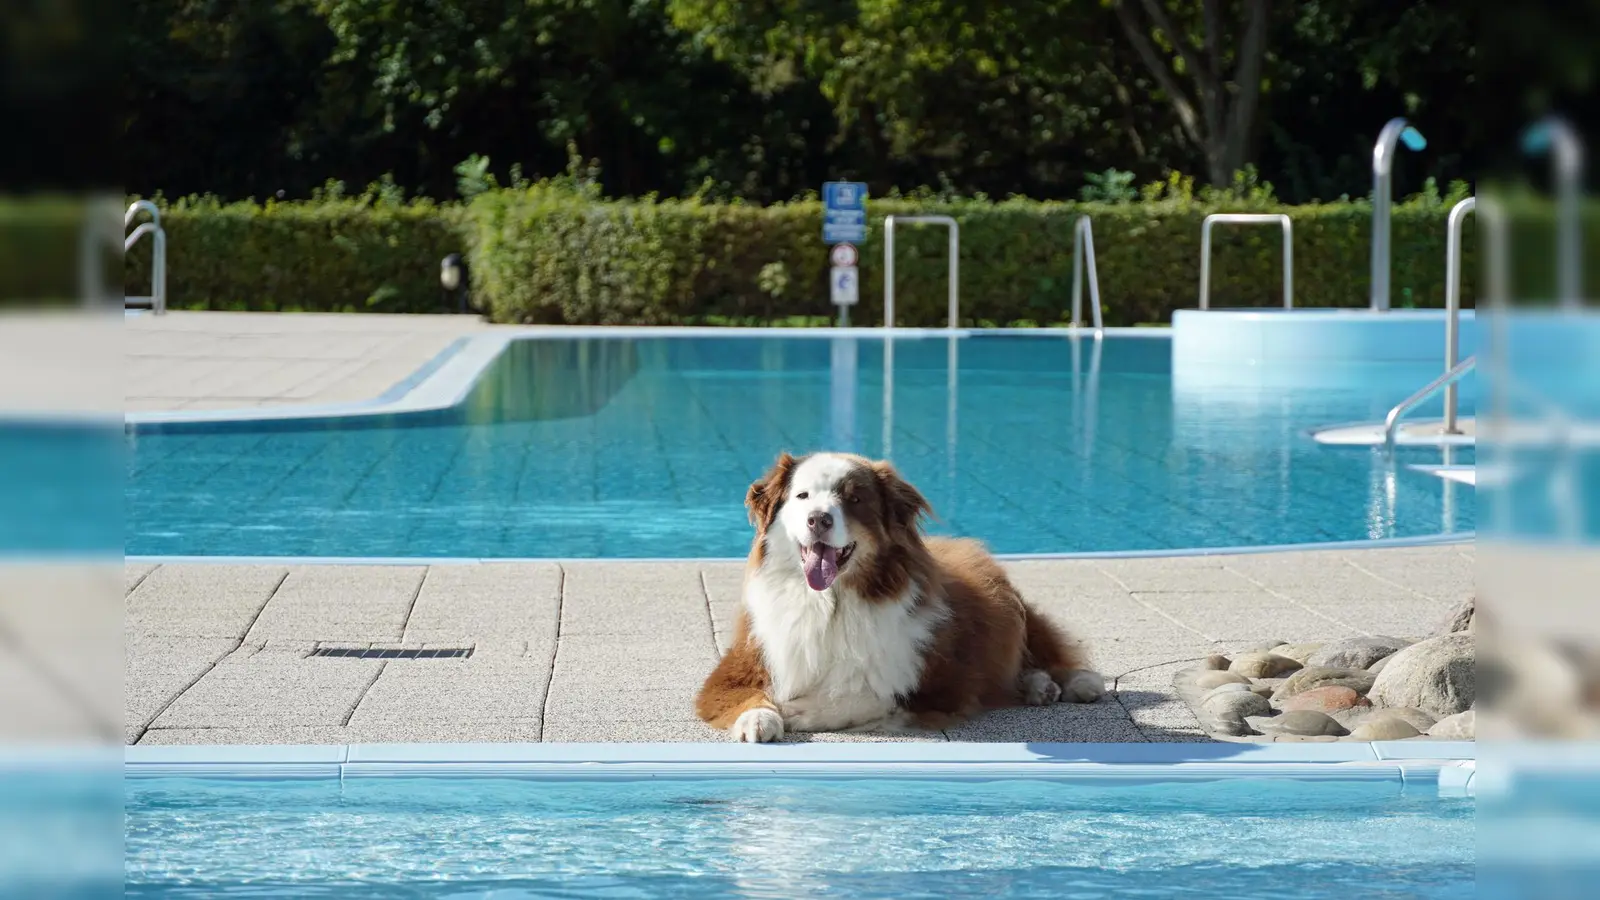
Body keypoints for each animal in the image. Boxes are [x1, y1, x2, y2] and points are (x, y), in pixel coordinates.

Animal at [694, 451, 1107, 739]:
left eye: (854, 499)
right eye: (802, 496)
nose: (818, 519)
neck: (833, 604)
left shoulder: (947, 685)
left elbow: (867, 696)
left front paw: (796, 711)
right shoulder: (737, 668)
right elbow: (745, 696)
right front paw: (759, 719)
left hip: (1012, 611)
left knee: (1044, 647)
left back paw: (1075, 683)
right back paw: (1040, 687)